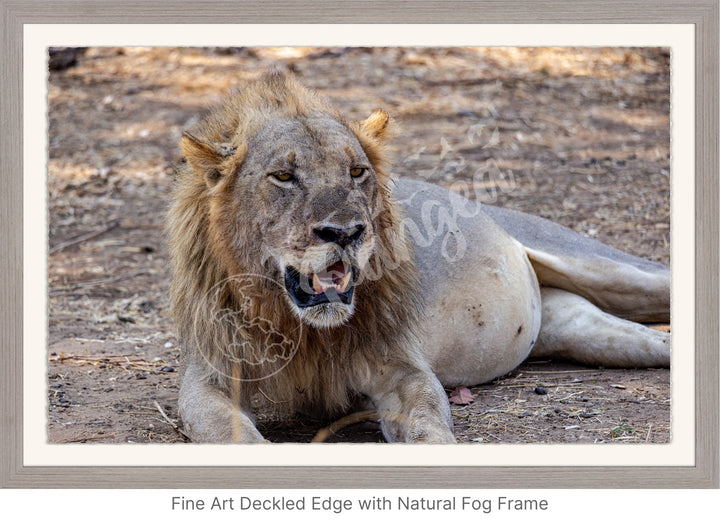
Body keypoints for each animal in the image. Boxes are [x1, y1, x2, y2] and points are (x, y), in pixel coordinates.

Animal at [167, 70, 668, 442]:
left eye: (357, 171)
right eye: (283, 176)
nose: (345, 232)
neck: (301, 329)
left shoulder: (402, 367)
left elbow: (428, 423)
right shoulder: (209, 378)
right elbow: (229, 431)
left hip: (607, 267)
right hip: (583, 330)